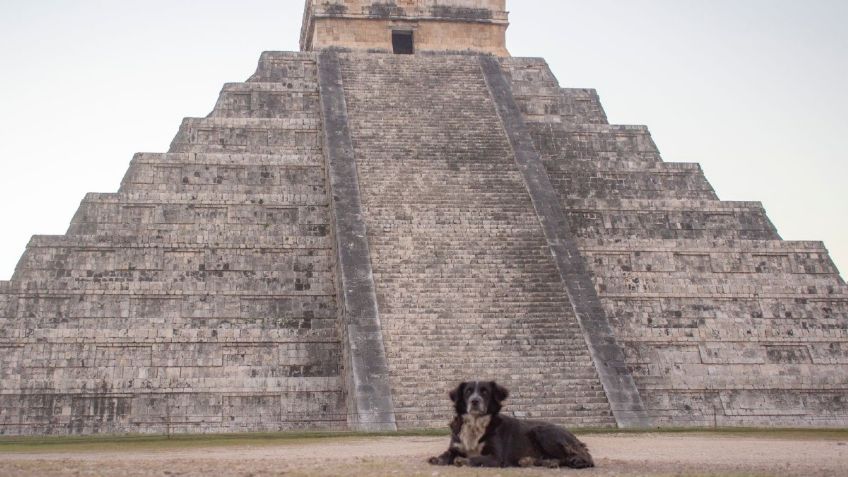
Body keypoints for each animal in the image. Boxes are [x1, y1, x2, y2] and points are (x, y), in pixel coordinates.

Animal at [428, 380, 592, 468]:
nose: (475, 401)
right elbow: (446, 454)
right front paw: (439, 459)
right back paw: (535, 461)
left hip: (543, 431)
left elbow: (476, 458)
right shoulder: (456, 445)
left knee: (582, 457)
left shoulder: (496, 457)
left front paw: (462, 460)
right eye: (468, 391)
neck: (475, 422)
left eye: (485, 392)